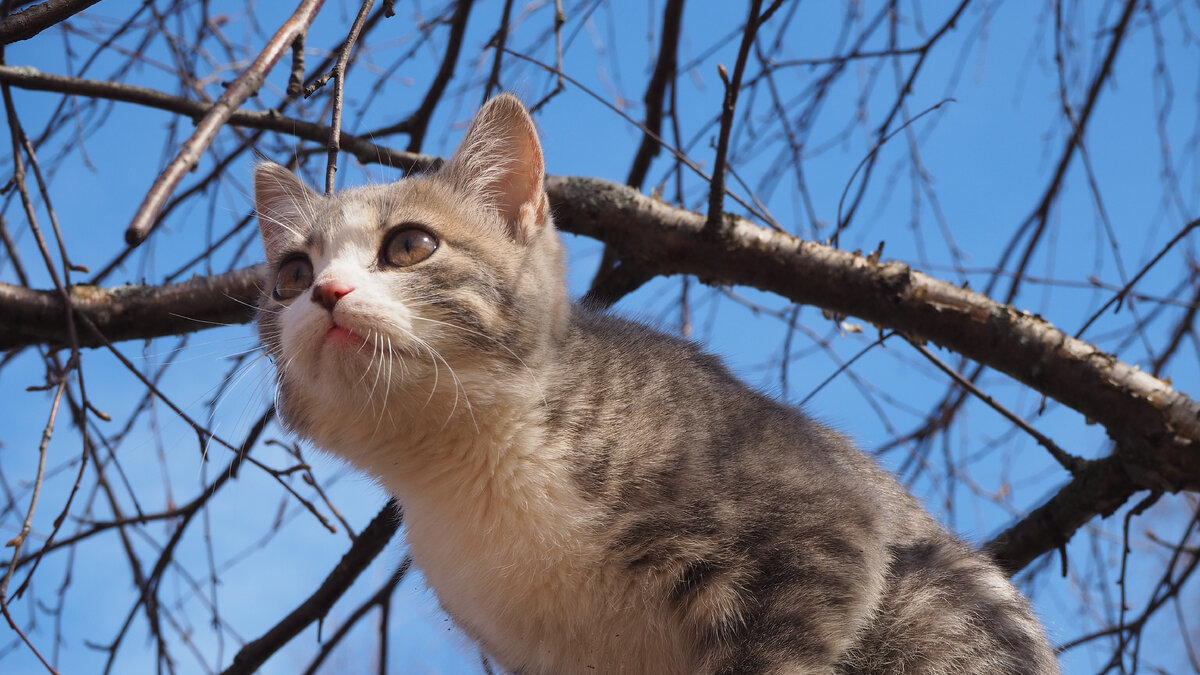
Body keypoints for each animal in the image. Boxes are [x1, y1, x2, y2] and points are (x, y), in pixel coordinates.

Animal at [253, 94, 1060, 672]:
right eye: (290, 275)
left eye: (410, 244)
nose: (325, 292)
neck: (470, 461)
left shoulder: (820, 527)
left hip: (937, 602)